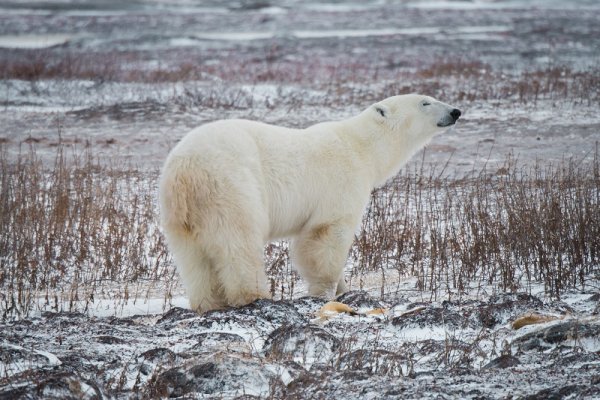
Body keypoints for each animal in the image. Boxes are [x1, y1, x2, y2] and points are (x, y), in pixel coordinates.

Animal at [158, 94, 460, 312]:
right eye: (425, 102)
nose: (455, 112)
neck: (362, 147)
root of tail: (184, 172)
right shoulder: (341, 184)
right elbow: (323, 237)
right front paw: (326, 291)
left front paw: (344, 288)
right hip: (231, 187)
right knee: (238, 243)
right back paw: (254, 295)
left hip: (181, 215)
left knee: (193, 258)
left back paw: (208, 303)